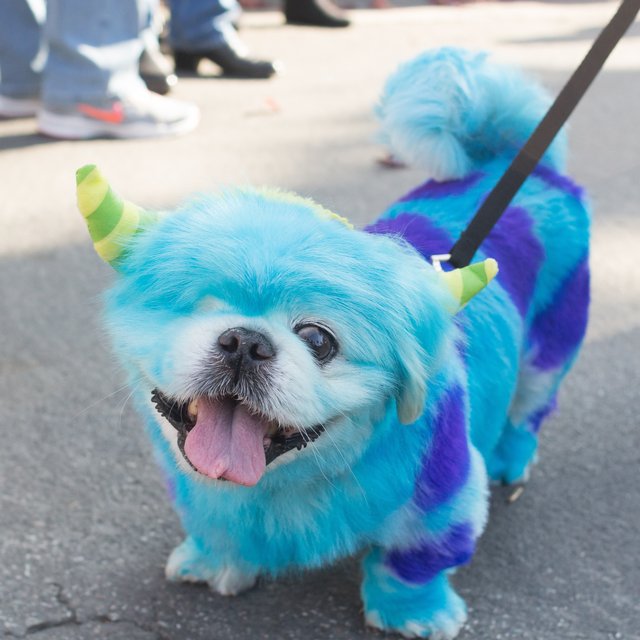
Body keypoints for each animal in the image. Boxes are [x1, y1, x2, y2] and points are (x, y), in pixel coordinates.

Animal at [77, 48, 592, 636]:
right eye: (195, 307)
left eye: (318, 341)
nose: (245, 342)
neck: (280, 484)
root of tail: (525, 167)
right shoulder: (199, 496)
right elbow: (216, 530)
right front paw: (214, 564)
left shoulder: (443, 502)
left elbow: (410, 567)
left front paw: (413, 617)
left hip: (547, 356)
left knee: (528, 411)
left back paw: (511, 459)